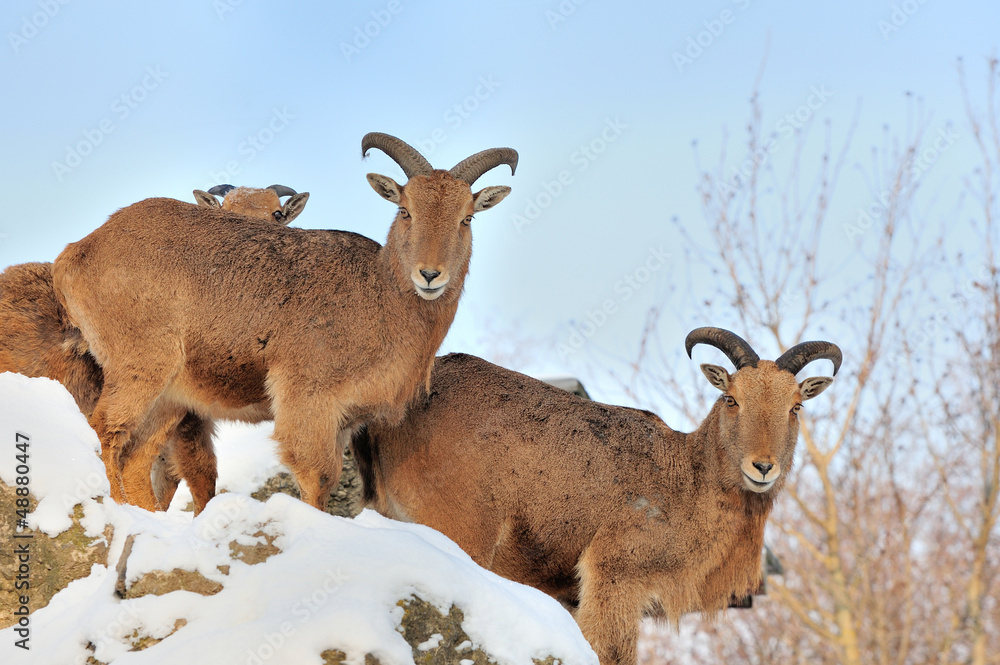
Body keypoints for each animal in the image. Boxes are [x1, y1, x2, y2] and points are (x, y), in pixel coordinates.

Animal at [48, 134, 516, 508]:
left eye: (467, 217)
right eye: (406, 210)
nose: (430, 275)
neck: (379, 292)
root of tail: (77, 252)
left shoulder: (343, 420)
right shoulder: (307, 397)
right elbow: (316, 475)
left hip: (169, 396)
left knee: (137, 457)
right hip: (141, 365)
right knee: (107, 431)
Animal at [356, 328, 840, 664]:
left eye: (796, 406)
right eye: (732, 398)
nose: (762, 467)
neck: (687, 479)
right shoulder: (614, 576)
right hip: (458, 530)